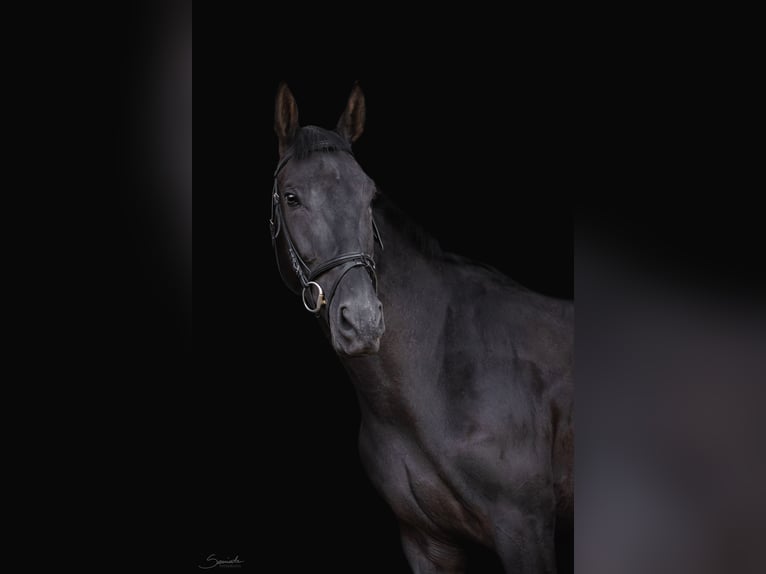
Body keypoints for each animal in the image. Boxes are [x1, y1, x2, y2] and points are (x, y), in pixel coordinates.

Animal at [269, 83, 574, 573]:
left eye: (369, 195)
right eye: (292, 197)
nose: (363, 322)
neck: (438, 374)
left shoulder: (526, 531)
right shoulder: (427, 542)